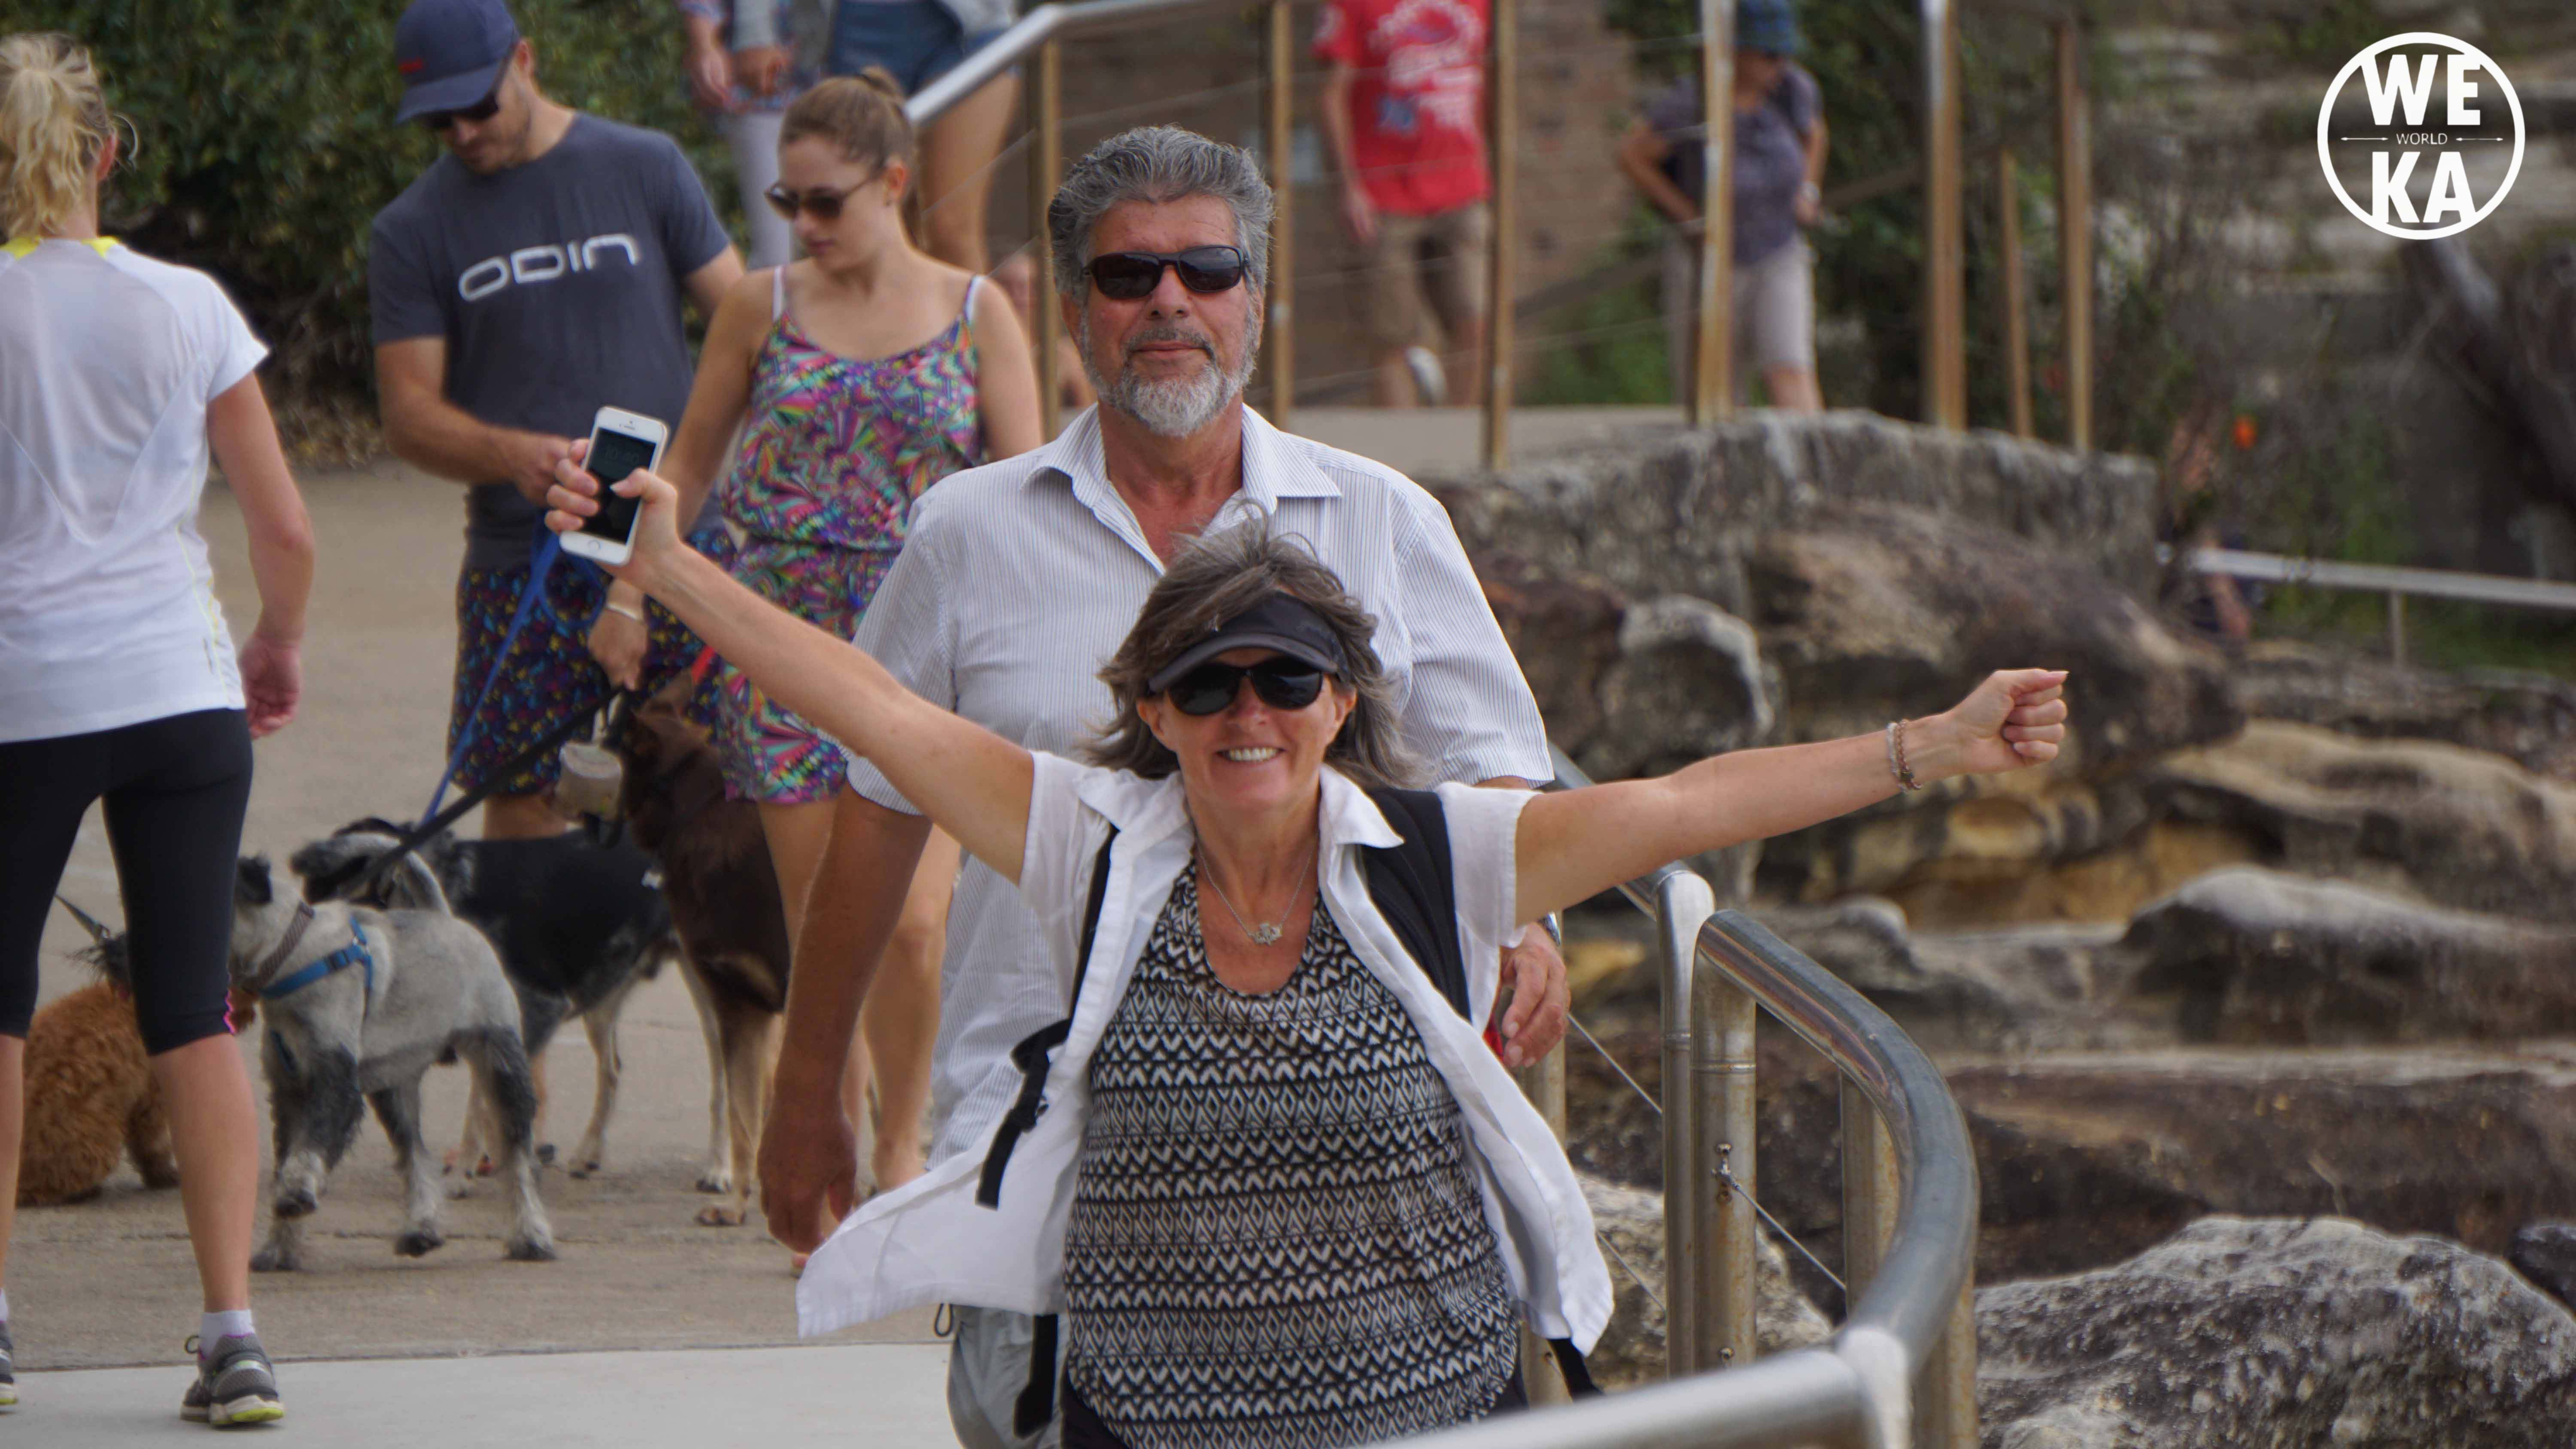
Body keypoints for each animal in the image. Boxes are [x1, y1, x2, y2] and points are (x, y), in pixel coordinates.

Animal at [228, 854, 555, 1269]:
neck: (295, 952)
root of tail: (445, 918)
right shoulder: (289, 1092)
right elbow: (288, 1156)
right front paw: (279, 1247)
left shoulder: (334, 1081)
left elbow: (308, 1148)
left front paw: (295, 1196)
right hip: (394, 1088)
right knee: (415, 1155)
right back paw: (421, 1230)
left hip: (501, 1066)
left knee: (517, 1159)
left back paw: (531, 1237)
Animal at [290, 818, 677, 1180]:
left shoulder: (536, 1013)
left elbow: (484, 1103)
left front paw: (468, 1171)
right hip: (602, 996)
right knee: (612, 1069)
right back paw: (588, 1153)